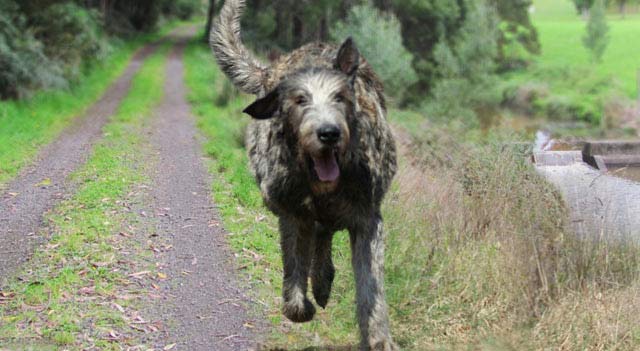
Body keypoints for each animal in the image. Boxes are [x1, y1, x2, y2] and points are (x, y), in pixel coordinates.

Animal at [212, 1, 398, 350]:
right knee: (319, 235)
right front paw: (300, 303)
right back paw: (320, 281)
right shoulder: (291, 212)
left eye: (340, 97)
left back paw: (323, 281)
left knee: (325, 233)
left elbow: (371, 287)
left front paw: (378, 337)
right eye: (300, 101)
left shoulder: (368, 218)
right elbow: (294, 273)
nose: (329, 134)